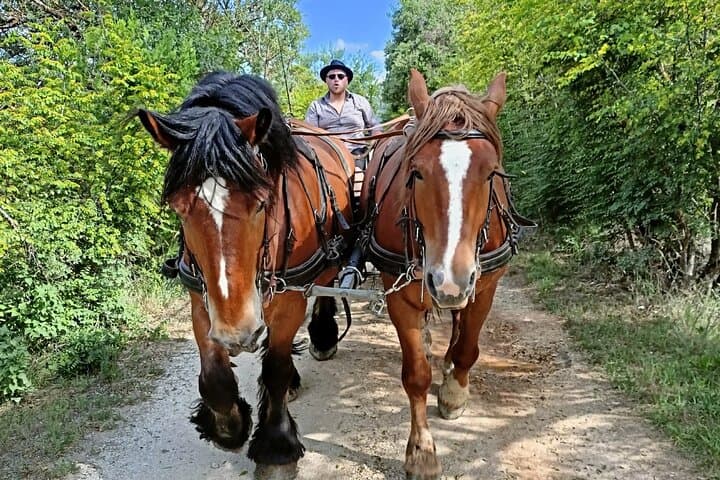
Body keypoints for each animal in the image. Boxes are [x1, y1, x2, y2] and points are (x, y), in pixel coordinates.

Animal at [136, 72, 354, 464]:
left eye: (261, 202)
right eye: (178, 207)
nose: (239, 334)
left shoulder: (290, 298)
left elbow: (276, 368)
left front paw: (276, 441)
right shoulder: (201, 298)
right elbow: (215, 378)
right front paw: (228, 427)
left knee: (324, 291)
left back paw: (323, 336)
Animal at [360, 69, 529, 478]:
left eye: (491, 173)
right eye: (416, 172)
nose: (449, 279)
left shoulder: (484, 286)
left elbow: (469, 347)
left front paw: (454, 392)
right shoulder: (400, 293)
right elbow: (416, 374)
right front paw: (421, 451)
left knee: (458, 324)